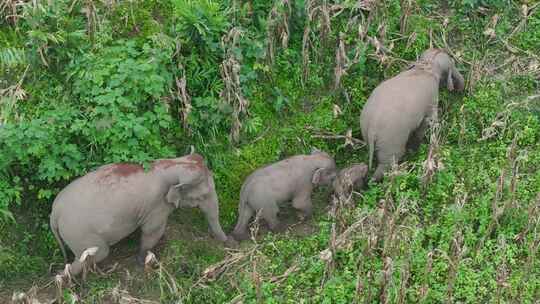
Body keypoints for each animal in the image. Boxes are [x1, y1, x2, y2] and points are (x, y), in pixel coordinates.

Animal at [51, 154, 234, 276]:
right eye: (203, 196)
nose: (230, 243)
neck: (173, 162)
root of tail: (54, 213)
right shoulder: (157, 205)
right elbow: (152, 232)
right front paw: (142, 261)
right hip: (80, 234)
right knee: (98, 253)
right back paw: (65, 278)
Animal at [358, 47, 464, 180]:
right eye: (452, 64)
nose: (460, 90)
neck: (426, 65)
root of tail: (372, 129)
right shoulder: (432, 97)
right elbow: (429, 121)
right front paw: (416, 148)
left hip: (365, 130)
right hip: (391, 140)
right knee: (389, 163)